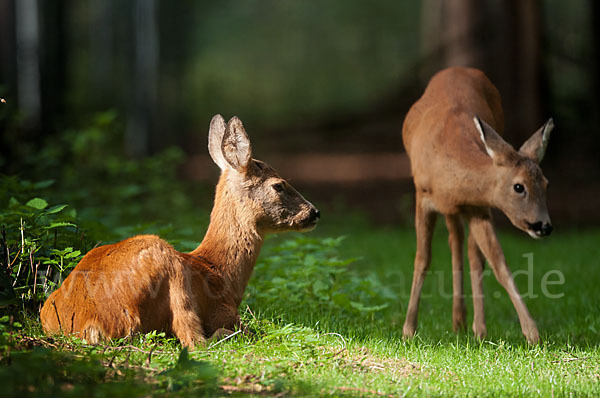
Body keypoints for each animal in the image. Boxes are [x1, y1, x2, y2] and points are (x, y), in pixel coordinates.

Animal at [39, 114, 322, 346]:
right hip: (167, 262)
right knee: (194, 339)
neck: (221, 274)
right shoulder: (223, 311)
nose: (314, 213)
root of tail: (90, 323)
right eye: (278, 185)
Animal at [400, 67, 556, 344]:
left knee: (470, 251)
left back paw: (472, 326)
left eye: (546, 184)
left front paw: (532, 333)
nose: (544, 226)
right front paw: (408, 330)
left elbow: (498, 262)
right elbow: (422, 259)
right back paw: (460, 321)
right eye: (519, 186)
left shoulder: (478, 208)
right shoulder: (422, 196)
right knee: (455, 240)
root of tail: (458, 69)